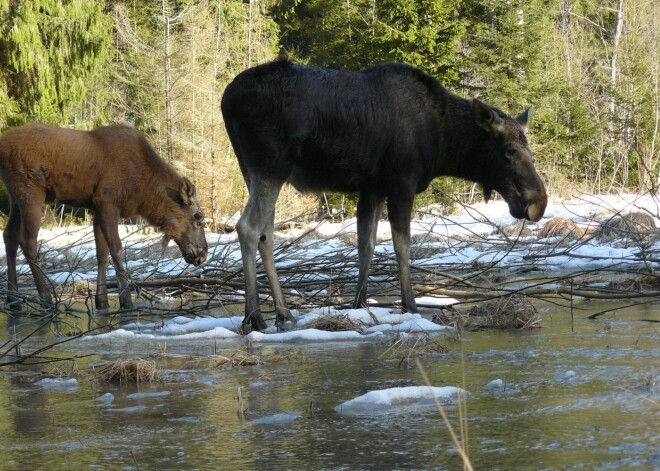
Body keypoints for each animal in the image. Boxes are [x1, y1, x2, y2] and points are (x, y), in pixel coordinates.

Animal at [0, 123, 208, 312]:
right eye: (198, 218)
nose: (203, 255)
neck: (143, 191)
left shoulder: (97, 208)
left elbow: (102, 254)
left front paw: (102, 300)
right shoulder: (107, 202)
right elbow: (116, 249)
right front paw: (126, 299)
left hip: (15, 197)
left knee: (9, 236)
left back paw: (14, 299)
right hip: (31, 191)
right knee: (28, 241)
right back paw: (45, 298)